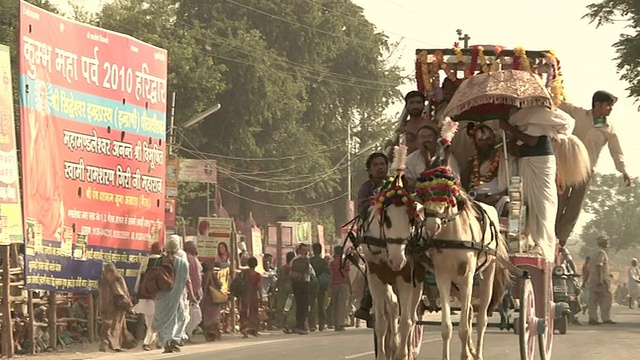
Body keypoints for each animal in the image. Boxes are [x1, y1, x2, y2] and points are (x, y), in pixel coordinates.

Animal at [362, 175, 422, 360]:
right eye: (386, 219)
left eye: (411, 219)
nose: (397, 260)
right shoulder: (374, 276)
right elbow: (381, 322)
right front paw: (384, 354)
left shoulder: (406, 276)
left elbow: (406, 322)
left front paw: (403, 354)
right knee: (394, 307)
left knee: (413, 317)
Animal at [420, 167, 510, 360]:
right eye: (424, 196)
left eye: (447, 196)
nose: (431, 225)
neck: (453, 238)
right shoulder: (443, 278)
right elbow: (447, 327)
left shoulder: (467, 277)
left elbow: (464, 328)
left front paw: (467, 353)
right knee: (468, 312)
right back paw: (470, 351)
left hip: (487, 274)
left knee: (481, 319)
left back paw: (478, 352)